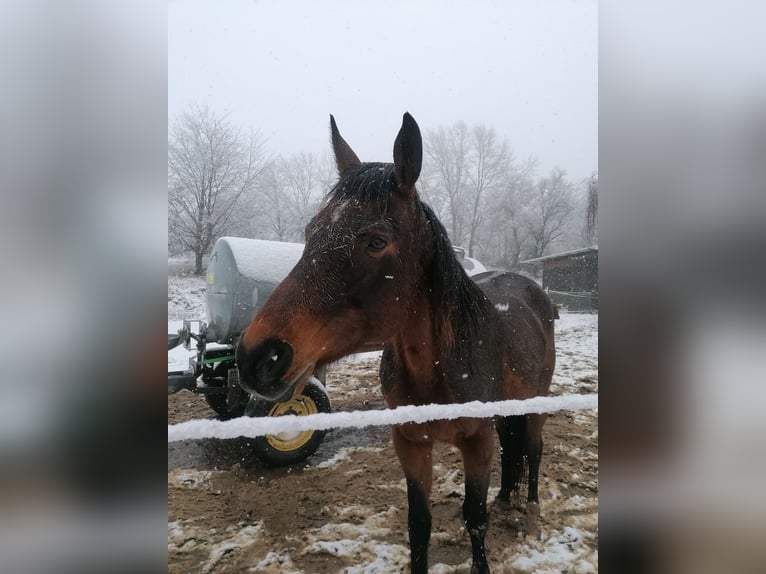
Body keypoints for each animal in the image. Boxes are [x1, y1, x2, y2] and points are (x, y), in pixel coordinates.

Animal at [237, 115, 556, 572]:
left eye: (375, 241)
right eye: (311, 231)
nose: (258, 355)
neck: (439, 367)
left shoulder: (477, 442)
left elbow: (474, 518)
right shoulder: (410, 442)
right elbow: (418, 525)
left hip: (536, 403)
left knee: (533, 448)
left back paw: (529, 514)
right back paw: (506, 499)